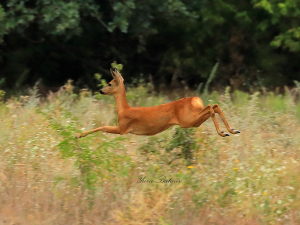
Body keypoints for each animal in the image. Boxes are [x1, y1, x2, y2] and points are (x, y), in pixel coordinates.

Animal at [76, 69, 240, 138]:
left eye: (110, 83)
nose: (101, 91)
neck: (123, 110)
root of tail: (196, 99)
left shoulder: (123, 128)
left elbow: (102, 126)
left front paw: (79, 135)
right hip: (193, 121)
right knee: (215, 106)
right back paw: (232, 130)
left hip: (187, 120)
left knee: (211, 107)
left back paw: (223, 132)